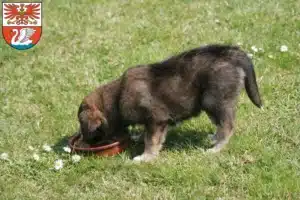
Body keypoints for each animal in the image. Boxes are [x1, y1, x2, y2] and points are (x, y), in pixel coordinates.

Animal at [78, 44, 262, 162]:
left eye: (82, 125)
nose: (85, 143)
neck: (117, 97)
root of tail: (231, 53)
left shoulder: (156, 119)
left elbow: (151, 140)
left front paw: (145, 157)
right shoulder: (157, 122)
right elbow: (149, 135)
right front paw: (139, 139)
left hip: (215, 100)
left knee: (227, 126)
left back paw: (216, 149)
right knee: (221, 124)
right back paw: (214, 138)